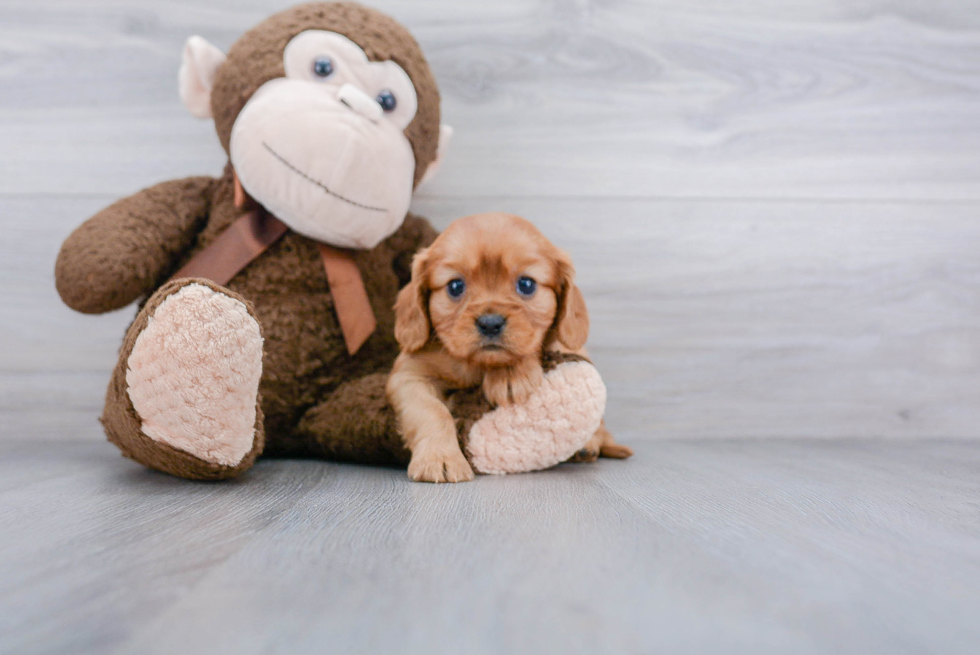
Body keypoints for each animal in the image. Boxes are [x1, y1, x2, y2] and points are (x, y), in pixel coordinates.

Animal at [386, 213, 632, 484]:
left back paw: (588, 445)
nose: (490, 323)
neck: (478, 365)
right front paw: (440, 458)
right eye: (455, 286)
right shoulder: (409, 374)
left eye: (526, 284)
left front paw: (511, 373)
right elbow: (432, 411)